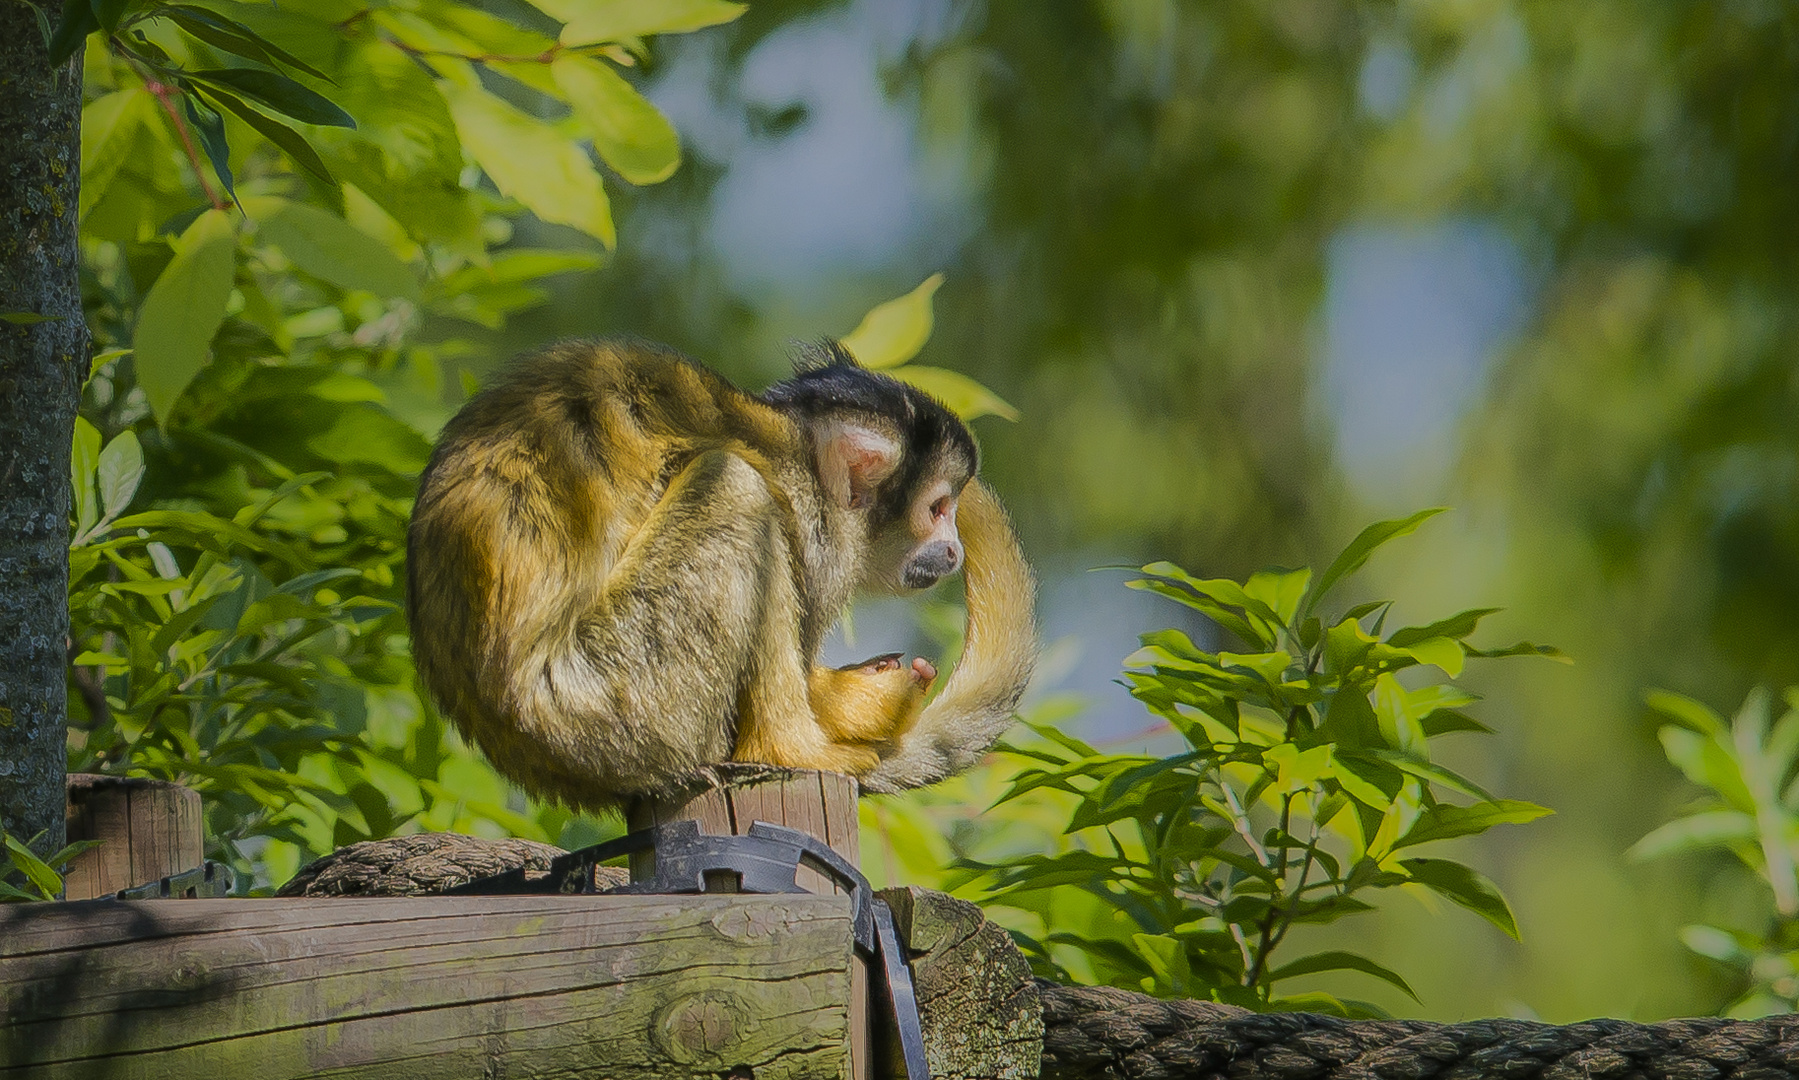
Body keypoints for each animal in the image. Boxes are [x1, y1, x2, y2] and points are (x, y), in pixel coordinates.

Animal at [401, 338, 1036, 810]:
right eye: (938, 508)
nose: (953, 550)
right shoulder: (817, 531)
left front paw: (860, 700)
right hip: (612, 699)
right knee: (736, 484)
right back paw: (790, 749)